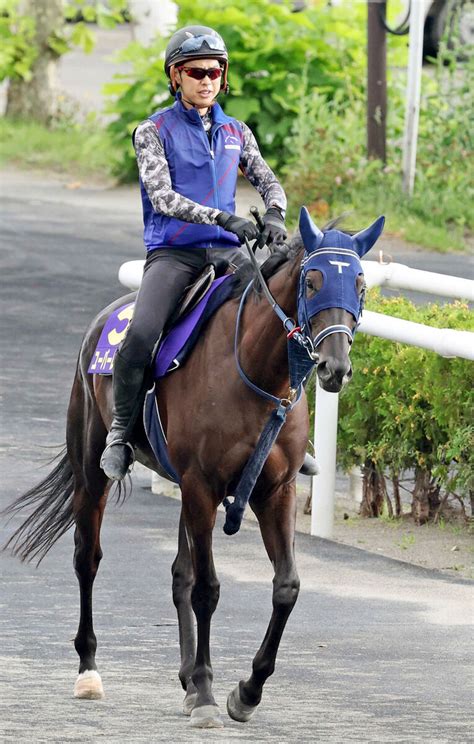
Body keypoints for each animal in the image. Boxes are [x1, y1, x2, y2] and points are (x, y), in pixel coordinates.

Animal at [3, 206, 384, 728]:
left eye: (360, 284)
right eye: (312, 281)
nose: (335, 367)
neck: (255, 372)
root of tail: (105, 317)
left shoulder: (275, 491)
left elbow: (285, 586)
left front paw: (246, 691)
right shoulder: (202, 486)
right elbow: (207, 589)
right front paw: (206, 692)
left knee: (178, 573)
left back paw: (183, 679)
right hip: (93, 472)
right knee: (87, 558)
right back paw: (89, 670)